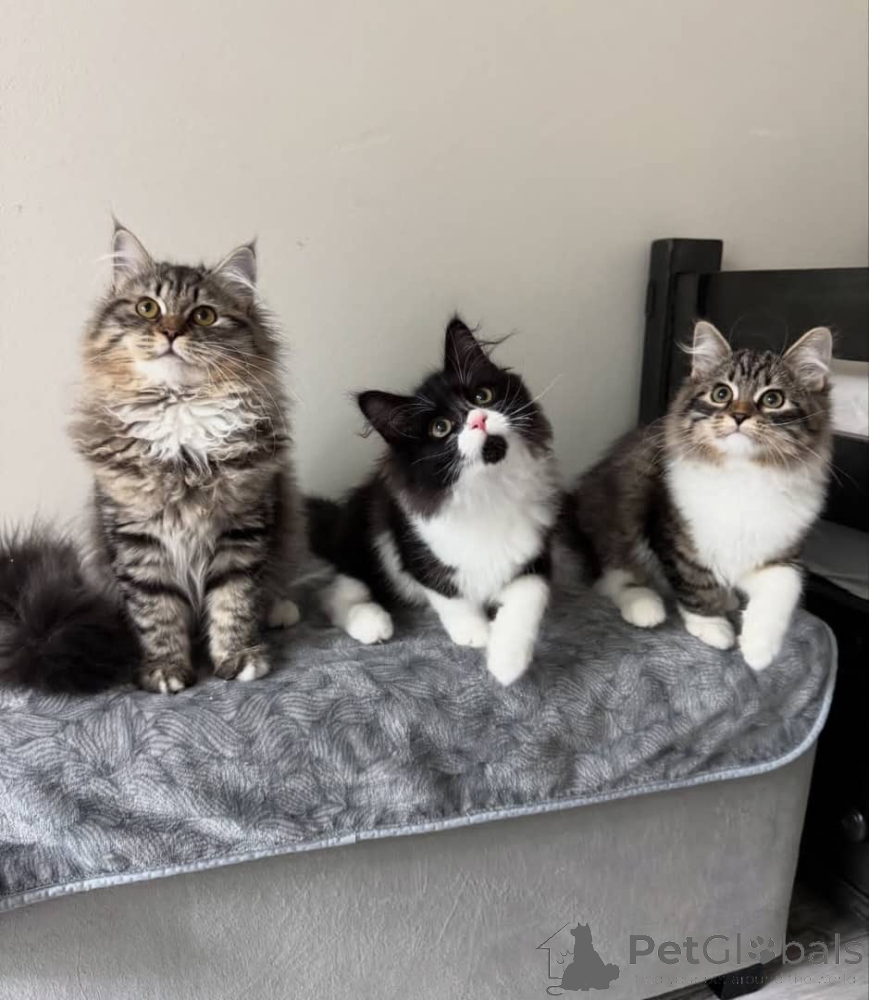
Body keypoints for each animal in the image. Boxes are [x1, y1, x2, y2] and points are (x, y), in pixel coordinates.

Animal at [1, 223, 304, 694]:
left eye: (203, 315)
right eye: (147, 308)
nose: (171, 332)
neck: (179, 423)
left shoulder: (243, 530)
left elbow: (234, 601)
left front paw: (238, 657)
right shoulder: (137, 538)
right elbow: (157, 613)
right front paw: (165, 669)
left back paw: (279, 611)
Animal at [308, 316, 560, 686]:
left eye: (482, 396)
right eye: (440, 428)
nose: (478, 419)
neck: (488, 491)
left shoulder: (535, 550)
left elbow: (530, 597)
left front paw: (507, 662)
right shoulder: (414, 544)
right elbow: (447, 593)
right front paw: (476, 634)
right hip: (362, 537)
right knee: (336, 592)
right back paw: (372, 622)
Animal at [569, 320, 833, 670]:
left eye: (773, 399)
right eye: (722, 394)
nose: (739, 416)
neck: (743, 477)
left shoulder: (779, 551)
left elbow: (786, 586)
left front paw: (759, 648)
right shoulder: (674, 532)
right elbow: (695, 582)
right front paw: (713, 625)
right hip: (618, 512)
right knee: (613, 576)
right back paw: (645, 607)